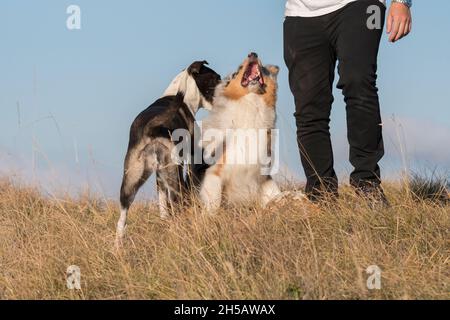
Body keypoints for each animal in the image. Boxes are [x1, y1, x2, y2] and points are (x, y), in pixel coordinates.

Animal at [117, 61, 221, 244]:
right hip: (172, 174)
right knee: (177, 201)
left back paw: (118, 246)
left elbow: (162, 201)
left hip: (132, 177)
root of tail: (152, 127)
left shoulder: (159, 174)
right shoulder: (192, 156)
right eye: (216, 78)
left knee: (122, 217)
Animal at [200, 52, 288, 212]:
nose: (252, 53)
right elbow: (214, 204)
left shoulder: (263, 176)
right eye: (238, 70)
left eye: (263, 68)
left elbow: (275, 194)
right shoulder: (214, 174)